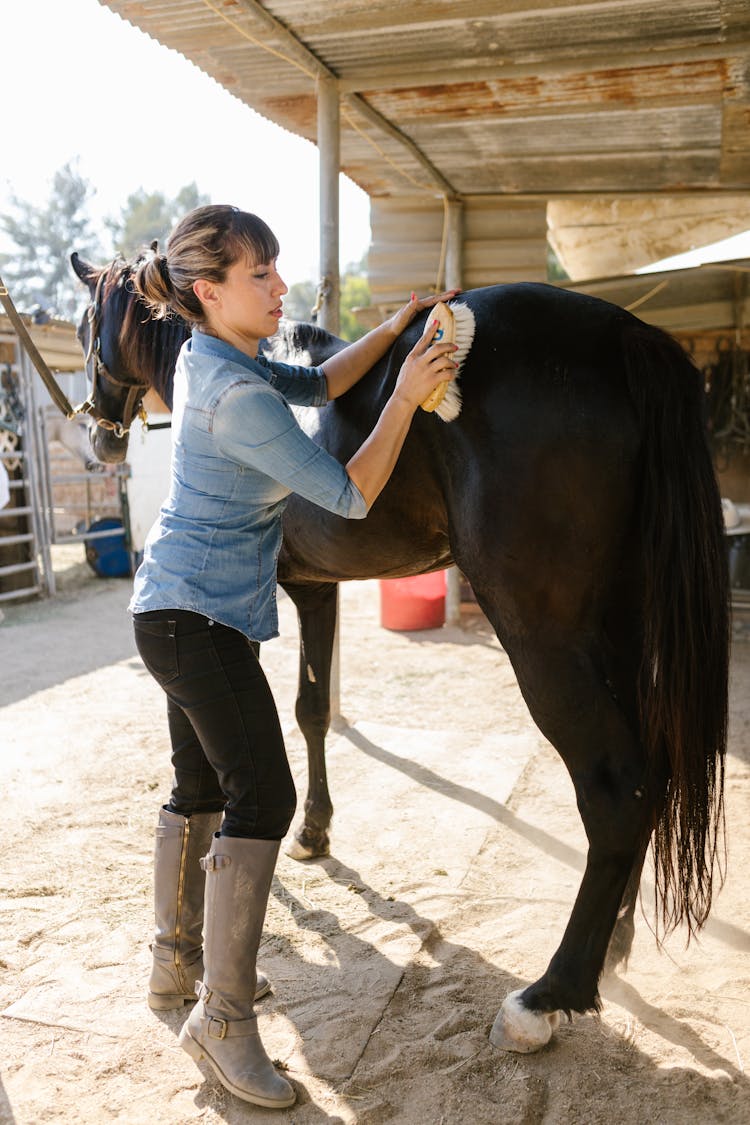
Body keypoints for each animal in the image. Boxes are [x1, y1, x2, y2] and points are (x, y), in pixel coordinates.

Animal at [68, 255, 728, 1053]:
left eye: (86, 326)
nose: (99, 438)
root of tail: (621, 334)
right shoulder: (315, 593)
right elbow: (313, 709)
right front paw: (314, 832)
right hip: (620, 630)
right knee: (647, 776)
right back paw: (618, 943)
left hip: (547, 639)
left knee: (615, 786)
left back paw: (550, 995)